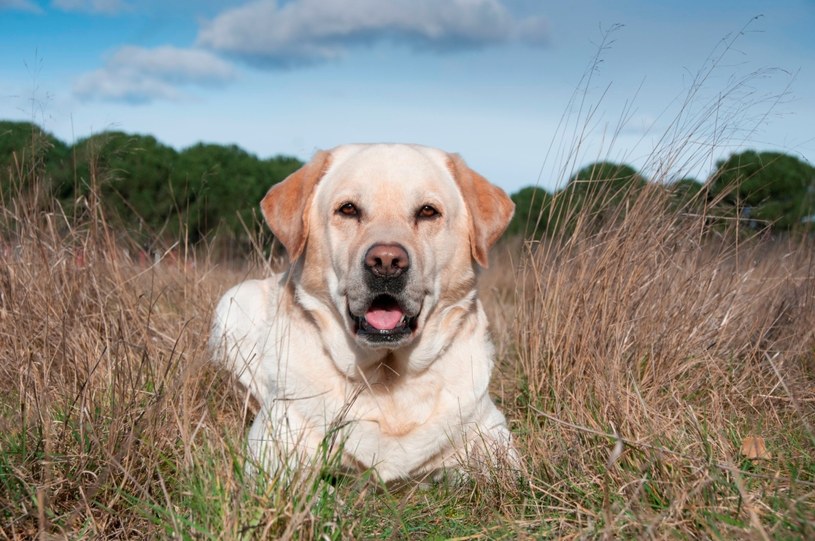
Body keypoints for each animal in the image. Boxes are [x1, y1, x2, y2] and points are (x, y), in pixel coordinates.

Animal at [210, 143, 516, 480]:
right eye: (348, 209)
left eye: (427, 212)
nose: (386, 262)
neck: (387, 378)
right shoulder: (271, 449)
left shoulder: (494, 435)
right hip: (234, 300)